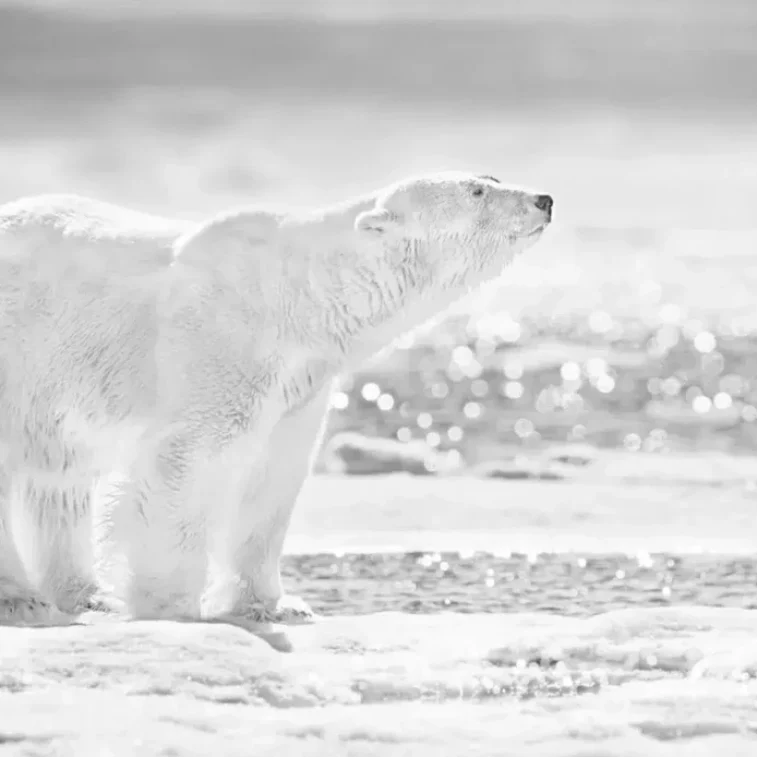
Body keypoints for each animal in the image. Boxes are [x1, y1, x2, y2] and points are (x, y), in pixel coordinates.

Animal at [0, 171, 552, 648]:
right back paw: (21, 599)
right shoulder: (223, 343)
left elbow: (271, 479)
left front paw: (276, 606)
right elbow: (188, 464)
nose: (544, 200)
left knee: (60, 481)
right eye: (477, 190)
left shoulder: (300, 385)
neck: (299, 296)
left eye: (492, 177)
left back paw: (85, 595)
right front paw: (171, 607)